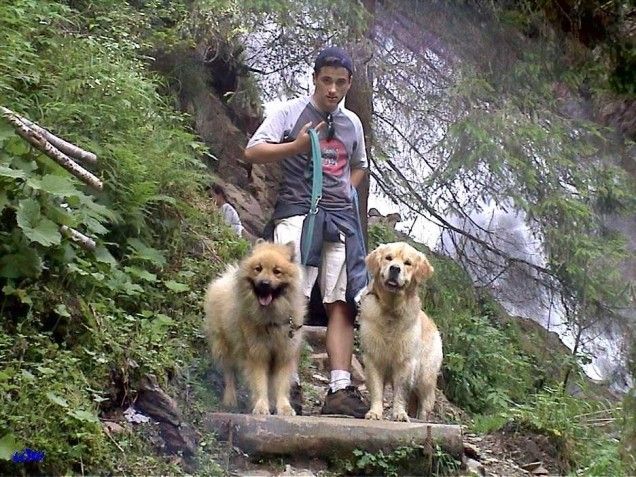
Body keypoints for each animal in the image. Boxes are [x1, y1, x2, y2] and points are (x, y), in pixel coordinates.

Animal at [202, 240, 304, 414]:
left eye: (277, 271)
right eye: (258, 269)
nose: (264, 283)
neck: (271, 319)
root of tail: (224, 279)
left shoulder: (283, 354)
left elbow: (281, 385)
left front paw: (283, 407)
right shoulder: (257, 354)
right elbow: (259, 383)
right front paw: (261, 406)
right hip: (225, 348)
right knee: (229, 375)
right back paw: (230, 399)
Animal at [358, 242, 442, 420]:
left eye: (407, 263)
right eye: (388, 258)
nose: (395, 269)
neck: (391, 309)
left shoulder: (406, 362)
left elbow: (401, 392)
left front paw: (399, 414)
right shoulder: (373, 358)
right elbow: (376, 389)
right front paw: (375, 412)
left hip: (425, 377)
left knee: (425, 404)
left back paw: (421, 419)